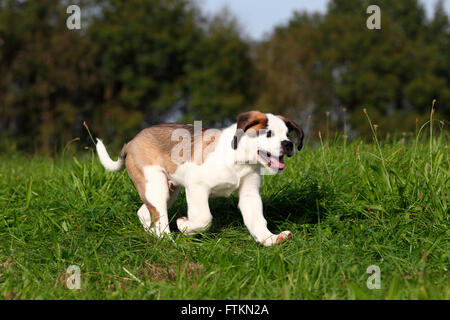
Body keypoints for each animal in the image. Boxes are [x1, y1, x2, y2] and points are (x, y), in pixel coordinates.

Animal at [96, 111, 304, 246]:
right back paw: (166, 240)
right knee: (159, 215)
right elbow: (204, 219)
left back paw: (154, 234)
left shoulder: (249, 194)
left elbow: (257, 219)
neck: (239, 158)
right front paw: (184, 225)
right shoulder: (196, 186)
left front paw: (269, 239)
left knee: (146, 213)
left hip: (167, 189)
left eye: (288, 134)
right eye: (268, 133)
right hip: (155, 184)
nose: (288, 144)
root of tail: (131, 142)